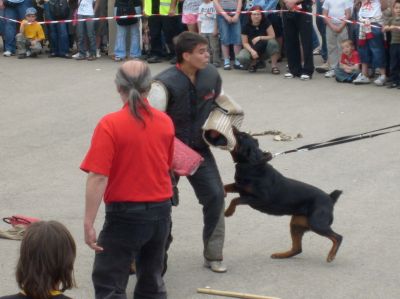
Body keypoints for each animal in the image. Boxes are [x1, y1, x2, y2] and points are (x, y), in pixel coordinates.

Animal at [225, 127, 344, 264]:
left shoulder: (259, 199)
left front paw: (228, 212)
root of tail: (330, 198)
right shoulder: (238, 187)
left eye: (241, 137)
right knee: (297, 248)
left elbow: (235, 200)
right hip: (296, 224)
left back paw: (331, 255)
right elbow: (225, 187)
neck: (251, 163)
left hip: (317, 223)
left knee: (338, 237)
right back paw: (280, 255)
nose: (233, 127)